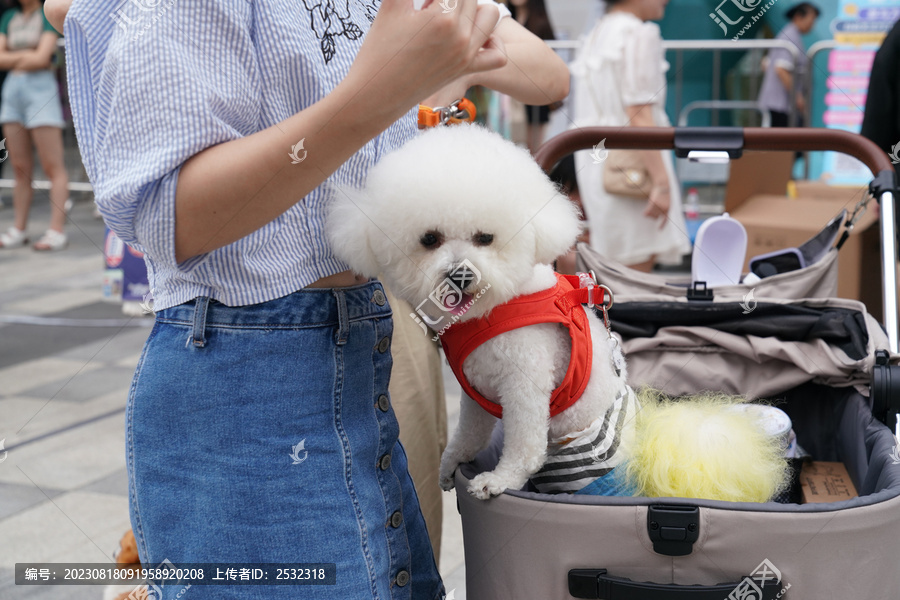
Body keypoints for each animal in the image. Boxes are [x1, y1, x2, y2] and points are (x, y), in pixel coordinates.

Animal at [326, 124, 636, 500]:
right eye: (429, 239)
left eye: (485, 238)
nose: (460, 275)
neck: (493, 309)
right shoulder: (475, 392)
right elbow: (469, 433)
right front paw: (451, 463)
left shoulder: (525, 383)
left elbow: (524, 446)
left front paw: (499, 480)